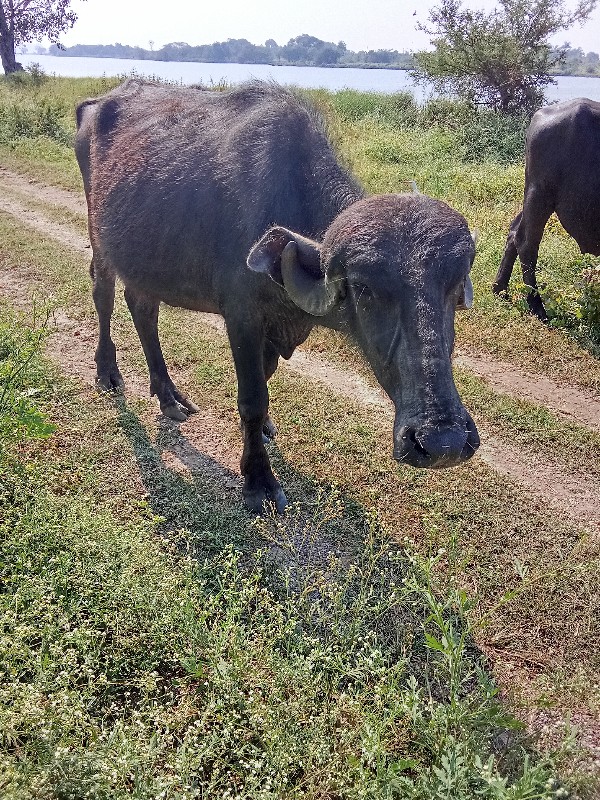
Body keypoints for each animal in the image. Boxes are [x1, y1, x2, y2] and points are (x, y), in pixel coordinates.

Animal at [75, 79, 480, 512]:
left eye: (454, 285)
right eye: (363, 287)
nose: (442, 441)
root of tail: (97, 103)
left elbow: (266, 381)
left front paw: (264, 431)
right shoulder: (242, 317)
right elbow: (253, 397)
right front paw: (258, 478)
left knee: (142, 307)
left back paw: (168, 396)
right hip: (99, 236)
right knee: (103, 293)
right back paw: (108, 371)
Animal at [494, 100, 596, 322]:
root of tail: (540, 115)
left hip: (531, 195)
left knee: (514, 231)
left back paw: (500, 289)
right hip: (540, 194)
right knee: (526, 243)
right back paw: (537, 306)